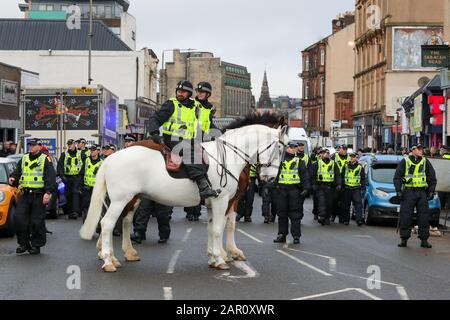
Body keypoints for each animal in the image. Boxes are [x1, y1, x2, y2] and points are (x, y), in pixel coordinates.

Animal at [80, 121, 288, 272]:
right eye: (280, 149)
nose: (270, 179)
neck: (228, 156)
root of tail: (111, 158)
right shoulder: (223, 201)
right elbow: (220, 228)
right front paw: (221, 257)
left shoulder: (214, 203)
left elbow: (212, 228)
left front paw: (213, 257)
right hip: (121, 199)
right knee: (107, 223)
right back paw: (108, 261)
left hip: (130, 198)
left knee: (123, 220)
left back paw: (119, 255)